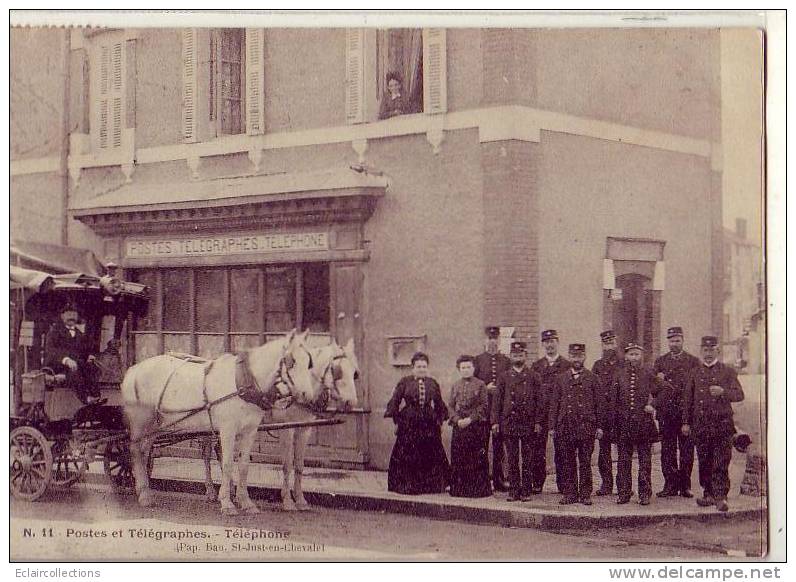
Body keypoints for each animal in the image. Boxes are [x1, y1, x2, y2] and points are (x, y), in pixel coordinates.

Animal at [119, 330, 316, 516]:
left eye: (309, 362)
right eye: (291, 361)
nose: (307, 395)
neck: (242, 383)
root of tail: (133, 370)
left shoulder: (250, 430)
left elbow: (244, 465)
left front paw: (246, 503)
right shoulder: (228, 429)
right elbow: (228, 464)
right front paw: (227, 503)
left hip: (155, 426)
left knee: (144, 453)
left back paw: (144, 490)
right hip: (140, 423)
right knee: (135, 452)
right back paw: (144, 495)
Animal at [199, 340, 360, 512]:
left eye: (354, 373)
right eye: (337, 371)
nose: (351, 402)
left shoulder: (304, 428)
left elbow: (299, 465)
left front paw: (301, 500)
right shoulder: (287, 428)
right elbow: (287, 464)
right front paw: (288, 501)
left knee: (219, 452)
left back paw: (230, 491)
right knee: (207, 454)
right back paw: (211, 491)